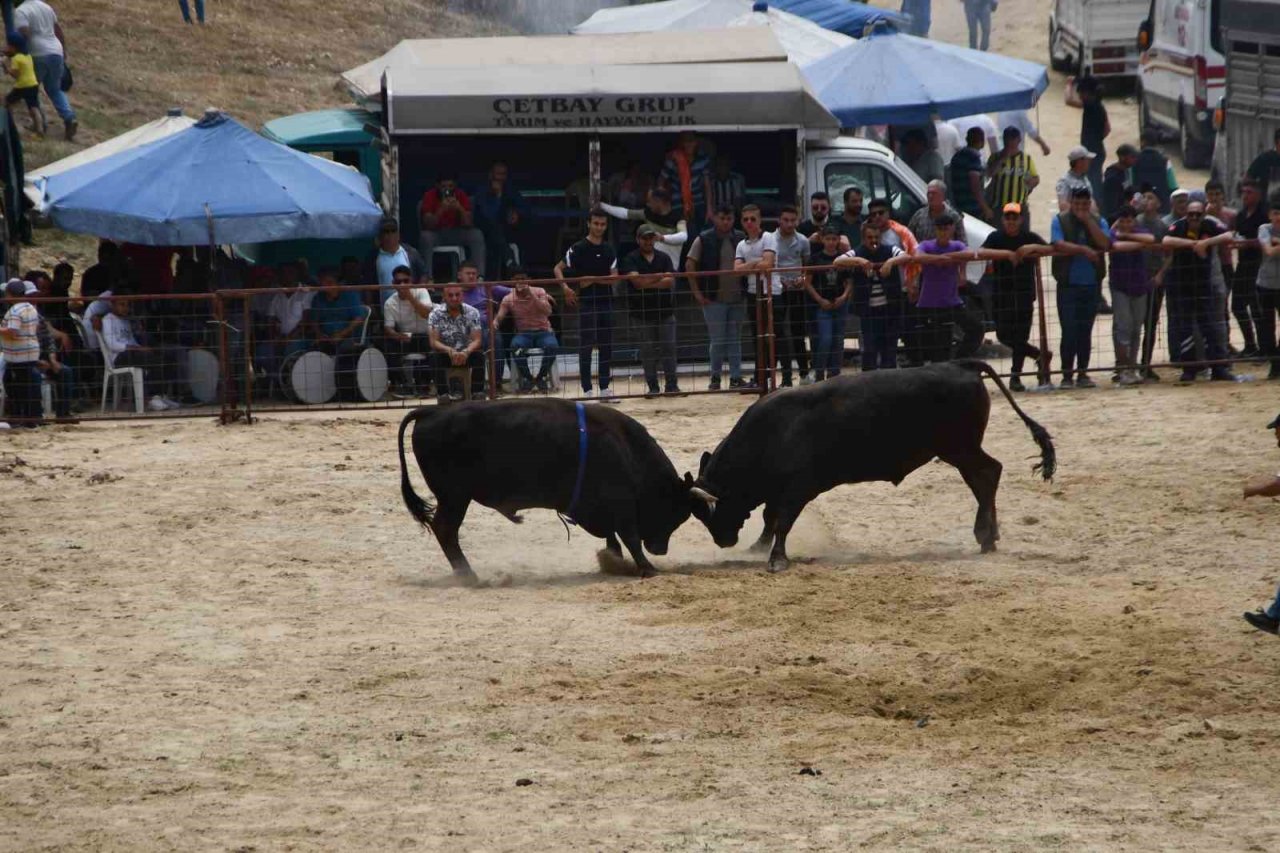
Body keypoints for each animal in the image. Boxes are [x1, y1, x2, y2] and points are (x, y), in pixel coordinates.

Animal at [396, 394, 706, 581]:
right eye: (676, 513)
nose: (660, 549)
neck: (625, 448)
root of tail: (430, 411)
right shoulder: (622, 506)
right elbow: (629, 538)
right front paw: (647, 567)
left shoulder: (602, 511)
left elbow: (613, 539)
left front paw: (615, 563)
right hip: (455, 497)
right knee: (446, 530)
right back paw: (468, 575)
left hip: (453, 498)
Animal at [696, 361, 1054, 571]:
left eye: (716, 509)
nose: (723, 541)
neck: (774, 431)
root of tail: (959, 365)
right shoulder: (778, 490)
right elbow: (770, 519)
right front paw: (758, 547)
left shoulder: (798, 489)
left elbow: (782, 521)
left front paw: (777, 559)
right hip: (959, 451)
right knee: (983, 478)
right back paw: (989, 535)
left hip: (960, 449)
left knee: (988, 473)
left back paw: (985, 535)